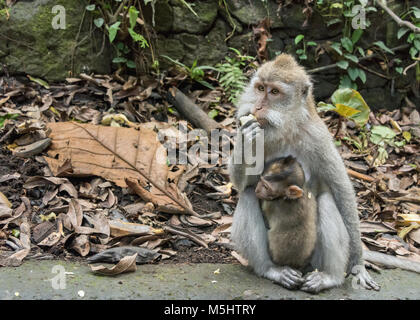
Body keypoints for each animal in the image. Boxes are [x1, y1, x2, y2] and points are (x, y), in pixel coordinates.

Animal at [228, 55, 378, 292]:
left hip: (314, 259)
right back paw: (270, 270)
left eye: (274, 92)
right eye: (260, 88)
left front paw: (358, 265)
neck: (287, 129)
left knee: (327, 200)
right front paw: (245, 136)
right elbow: (242, 183)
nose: (257, 106)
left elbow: (341, 190)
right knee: (249, 194)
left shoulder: (318, 138)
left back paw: (330, 277)